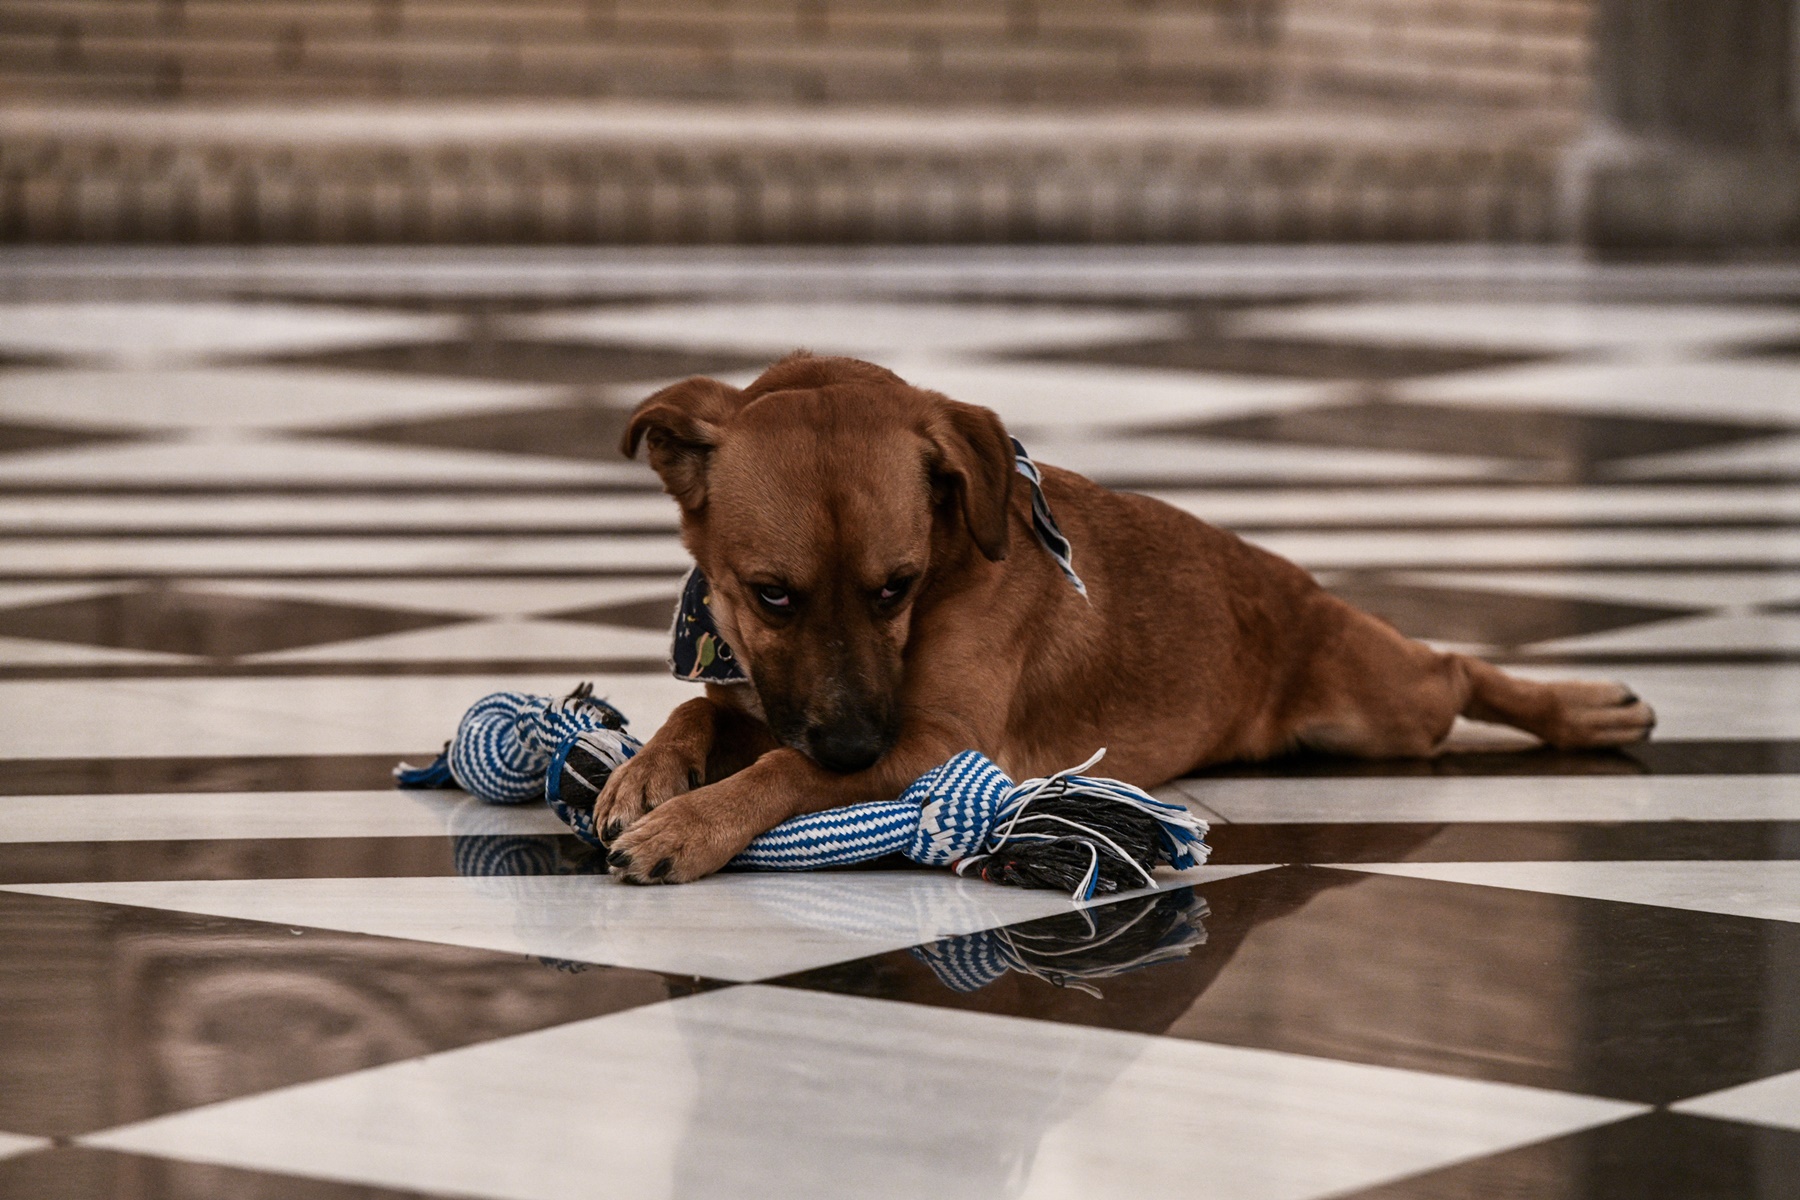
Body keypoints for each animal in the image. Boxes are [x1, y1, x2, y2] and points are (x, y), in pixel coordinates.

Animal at [594, 354, 1656, 881]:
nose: (858, 746)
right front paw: (651, 776)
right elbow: (701, 711)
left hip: (1381, 711)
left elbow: (785, 766)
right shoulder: (779, 696)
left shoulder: (939, 742)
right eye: (771, 595)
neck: (951, 564)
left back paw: (1582, 708)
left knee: (1455, 669)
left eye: (897, 586)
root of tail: (1300, 587)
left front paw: (695, 823)